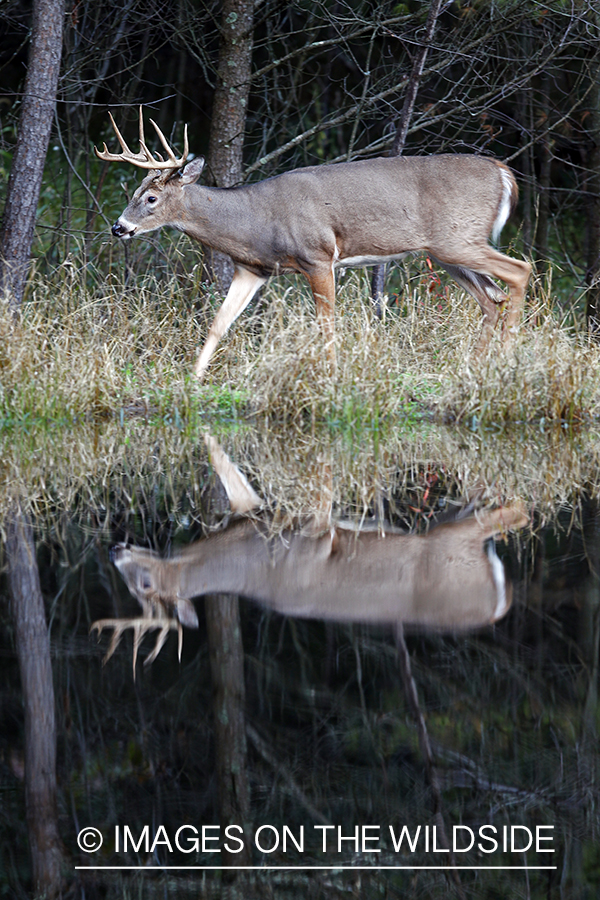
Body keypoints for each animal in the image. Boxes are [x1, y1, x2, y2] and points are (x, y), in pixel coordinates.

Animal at [90, 432, 528, 672]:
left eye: (145, 584)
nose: (114, 549)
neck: (251, 557)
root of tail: (500, 604)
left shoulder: (311, 542)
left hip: (453, 543)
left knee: (517, 509)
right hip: (455, 525)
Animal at [94, 107, 528, 378]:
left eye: (151, 198)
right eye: (134, 191)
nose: (118, 227)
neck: (255, 221)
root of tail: (503, 171)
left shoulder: (318, 256)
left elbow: (327, 324)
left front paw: (331, 376)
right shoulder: (253, 269)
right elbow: (219, 323)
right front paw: (193, 377)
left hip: (458, 239)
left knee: (519, 270)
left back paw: (507, 358)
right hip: (449, 251)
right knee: (491, 298)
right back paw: (477, 365)